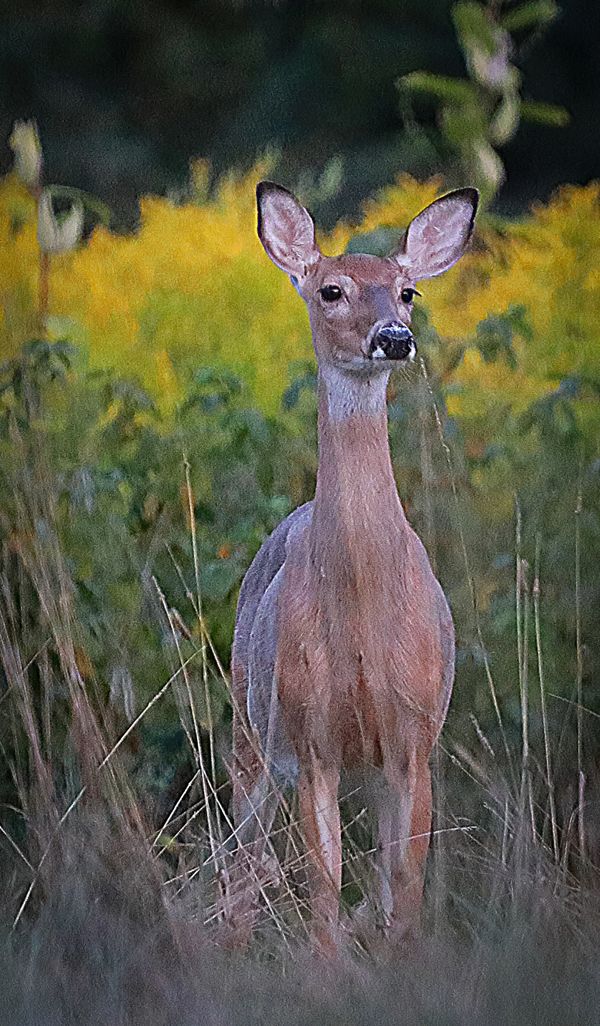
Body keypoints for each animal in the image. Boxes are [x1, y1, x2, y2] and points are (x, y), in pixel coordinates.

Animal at [224, 178, 477, 952]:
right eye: (330, 290)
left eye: (407, 292)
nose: (393, 338)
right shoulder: (313, 740)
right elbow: (324, 885)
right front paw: (326, 966)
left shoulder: (414, 736)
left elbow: (404, 884)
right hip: (248, 722)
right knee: (241, 860)